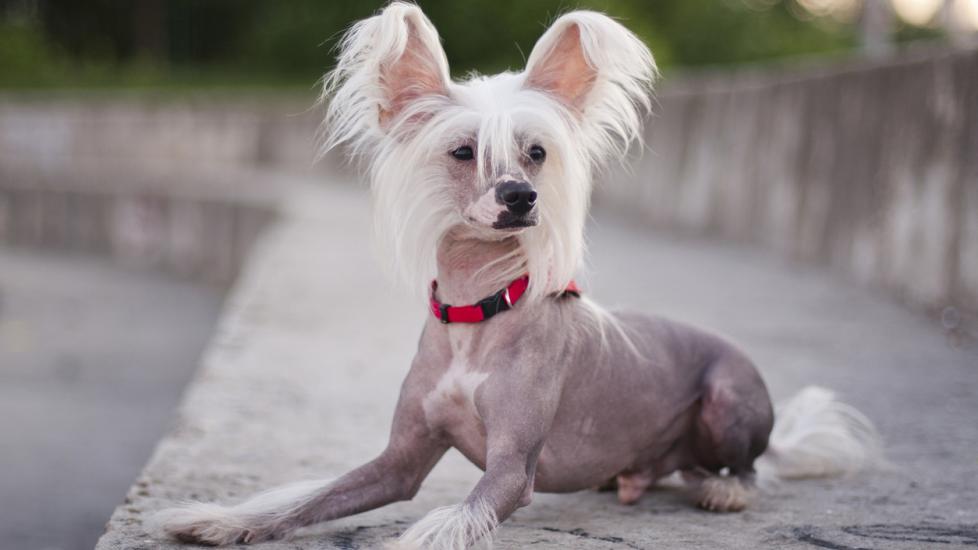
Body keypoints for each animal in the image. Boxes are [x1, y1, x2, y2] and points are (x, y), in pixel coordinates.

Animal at [156, 2, 880, 548]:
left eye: (536, 153)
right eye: (463, 151)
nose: (521, 197)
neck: (478, 311)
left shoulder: (510, 471)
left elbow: (457, 515)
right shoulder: (398, 463)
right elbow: (310, 495)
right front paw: (221, 519)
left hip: (729, 399)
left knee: (749, 468)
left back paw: (723, 487)